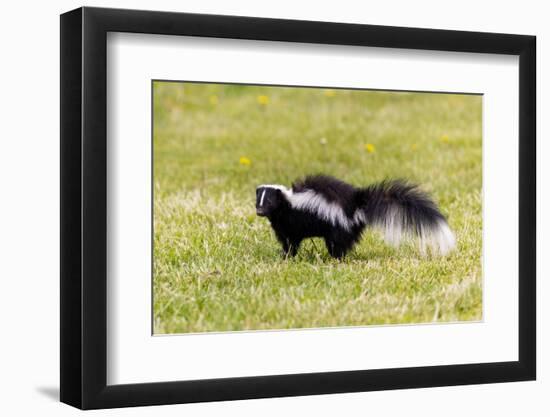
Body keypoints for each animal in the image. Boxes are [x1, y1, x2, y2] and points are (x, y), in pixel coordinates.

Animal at [258, 174, 458, 258]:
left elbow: (291, 241)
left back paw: (335, 258)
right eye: (257, 202)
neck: (287, 202)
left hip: (338, 224)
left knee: (338, 244)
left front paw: (286, 255)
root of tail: (356, 205)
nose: (259, 212)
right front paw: (284, 254)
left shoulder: (291, 222)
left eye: (269, 203)